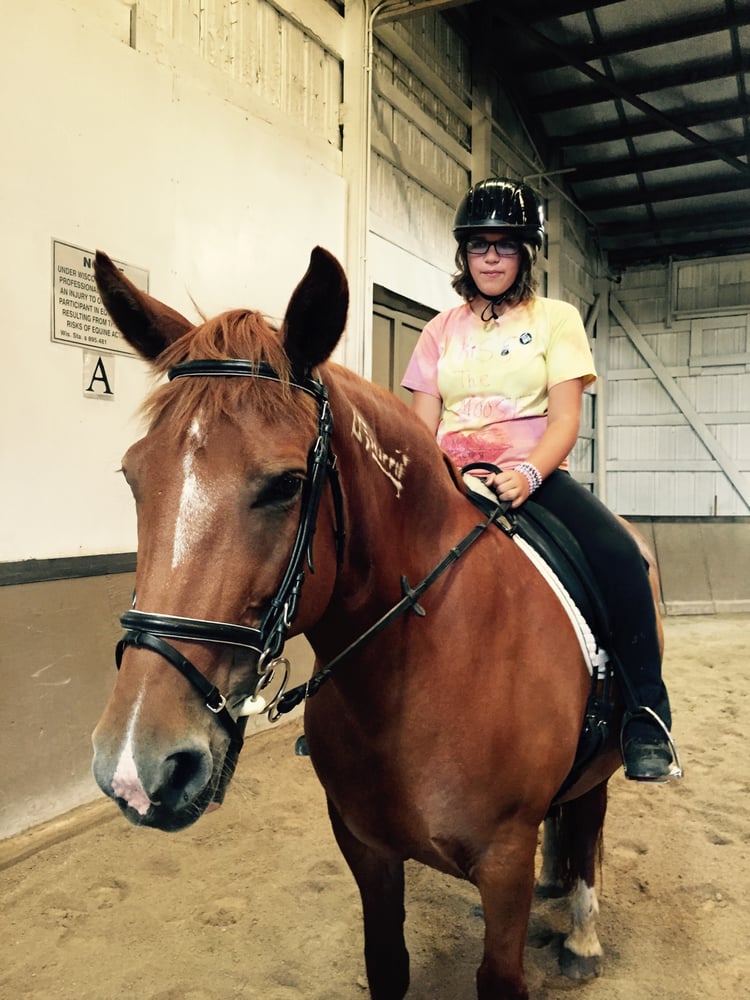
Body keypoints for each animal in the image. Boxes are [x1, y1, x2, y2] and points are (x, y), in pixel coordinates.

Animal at [91, 246, 663, 1000]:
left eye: (285, 485)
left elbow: (499, 972)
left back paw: (582, 935)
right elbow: (387, 963)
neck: (420, 664)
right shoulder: (366, 849)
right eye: (133, 476)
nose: (137, 766)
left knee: (591, 817)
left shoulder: (502, 863)